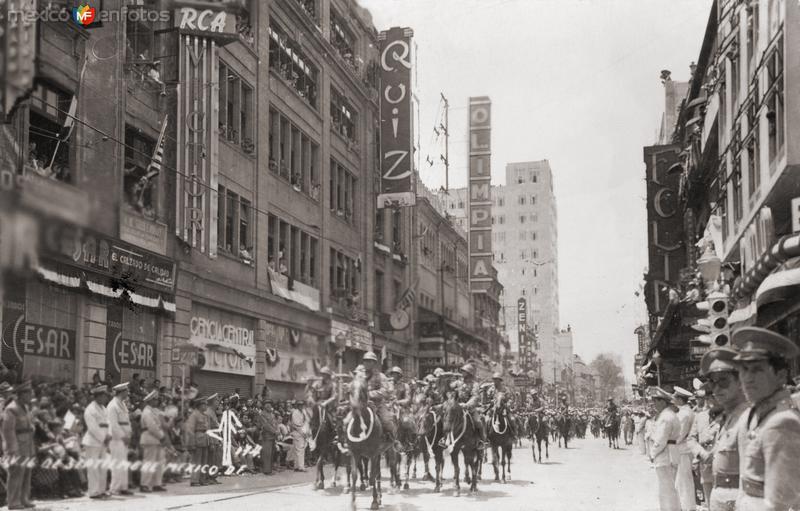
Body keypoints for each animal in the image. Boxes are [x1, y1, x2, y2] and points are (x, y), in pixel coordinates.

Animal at [346, 374, 396, 510]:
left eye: (364, 390)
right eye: (350, 390)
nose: (355, 408)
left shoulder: (373, 454)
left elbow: (372, 476)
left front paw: (374, 501)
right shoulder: (354, 453)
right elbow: (354, 476)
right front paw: (353, 503)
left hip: (387, 450)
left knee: (383, 470)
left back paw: (383, 494)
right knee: (377, 473)